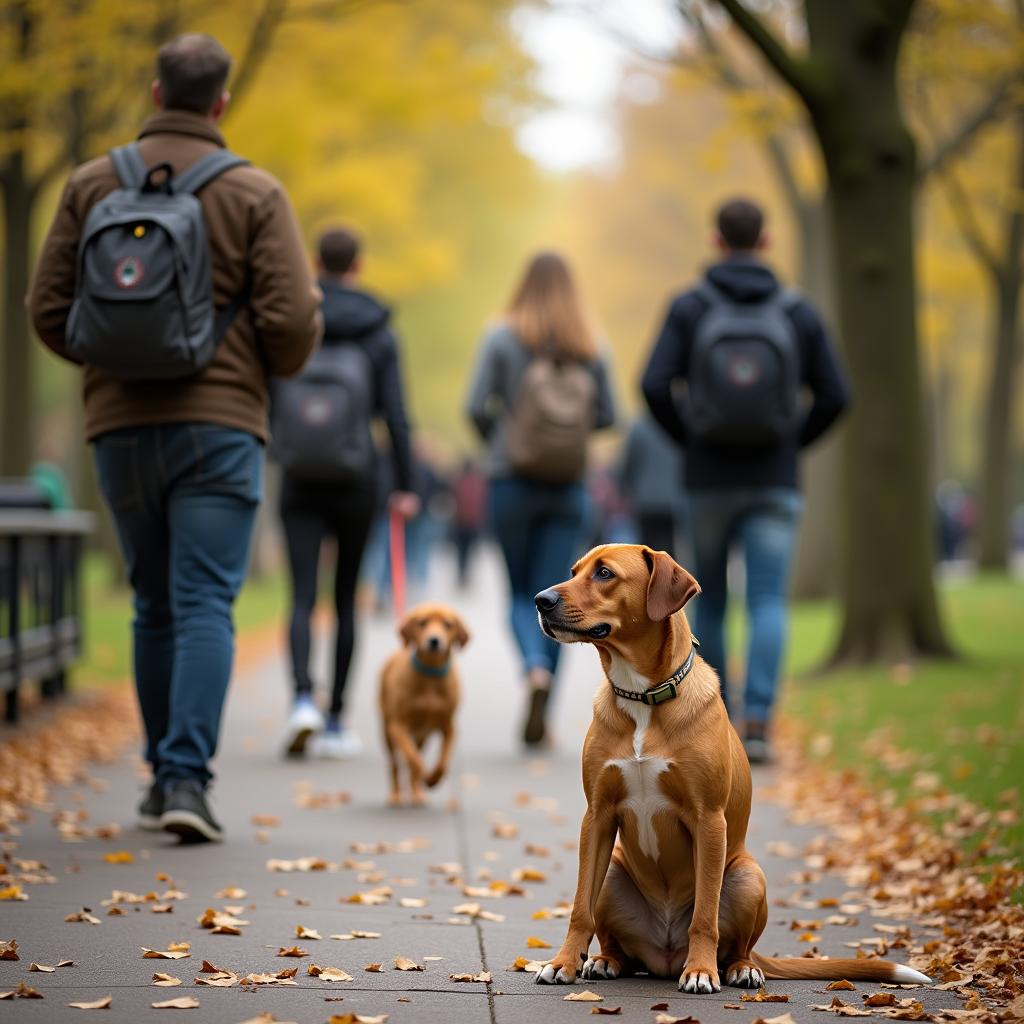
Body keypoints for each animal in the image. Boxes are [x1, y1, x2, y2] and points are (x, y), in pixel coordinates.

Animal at [378, 598, 468, 806]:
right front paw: (425, 776)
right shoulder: (398, 726)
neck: (431, 677)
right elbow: (414, 760)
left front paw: (433, 779)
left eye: (448, 624)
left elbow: (442, 763)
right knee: (395, 764)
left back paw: (417, 793)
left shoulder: (449, 727)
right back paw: (396, 794)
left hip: (422, 736)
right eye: (422, 623)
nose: (434, 641)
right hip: (387, 732)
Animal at [532, 548, 933, 995]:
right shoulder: (597, 817)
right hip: (614, 872)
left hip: (747, 876)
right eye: (574, 571)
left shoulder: (709, 820)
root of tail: (665, 956)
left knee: (736, 946)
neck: (643, 697)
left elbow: (704, 916)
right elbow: (579, 908)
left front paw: (701, 970)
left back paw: (738, 968)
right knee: (618, 943)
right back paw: (604, 960)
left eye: (604, 573)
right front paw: (563, 962)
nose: (541, 599)